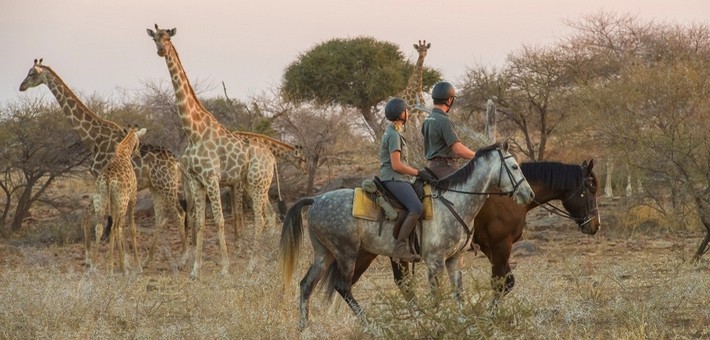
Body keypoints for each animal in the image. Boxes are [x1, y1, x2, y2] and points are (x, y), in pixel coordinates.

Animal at [84, 127, 147, 274]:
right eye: (138, 141)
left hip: (101, 199)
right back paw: (111, 268)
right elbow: (131, 228)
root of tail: (107, 178)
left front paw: (123, 263)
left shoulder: (114, 202)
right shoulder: (132, 198)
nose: (138, 152)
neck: (123, 152)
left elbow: (120, 228)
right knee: (114, 227)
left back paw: (94, 266)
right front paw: (137, 266)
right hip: (122, 202)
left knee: (100, 227)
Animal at [148, 24, 280, 278]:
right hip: (254, 183)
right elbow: (199, 222)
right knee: (269, 216)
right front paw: (195, 270)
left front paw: (225, 268)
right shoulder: (196, 180)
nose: (160, 51)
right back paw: (268, 258)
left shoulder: (211, 177)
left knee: (259, 219)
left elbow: (219, 220)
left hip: (257, 183)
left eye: (168, 37)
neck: (193, 130)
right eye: (154, 39)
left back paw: (251, 266)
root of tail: (272, 157)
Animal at [280, 141, 536, 330]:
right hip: (346, 253)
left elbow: (458, 293)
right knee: (343, 287)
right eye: (514, 167)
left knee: (306, 284)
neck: (455, 201)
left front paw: (463, 323)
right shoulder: (435, 261)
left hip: (324, 254)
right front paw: (437, 323)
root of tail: (316, 200)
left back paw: (303, 327)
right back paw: (370, 325)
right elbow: (437, 295)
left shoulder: (454, 259)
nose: (529, 194)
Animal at [392, 160, 604, 302]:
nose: (596, 225)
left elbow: (507, 282)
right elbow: (500, 283)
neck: (509, 196)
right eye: (591, 189)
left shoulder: (491, 247)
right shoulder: (500, 245)